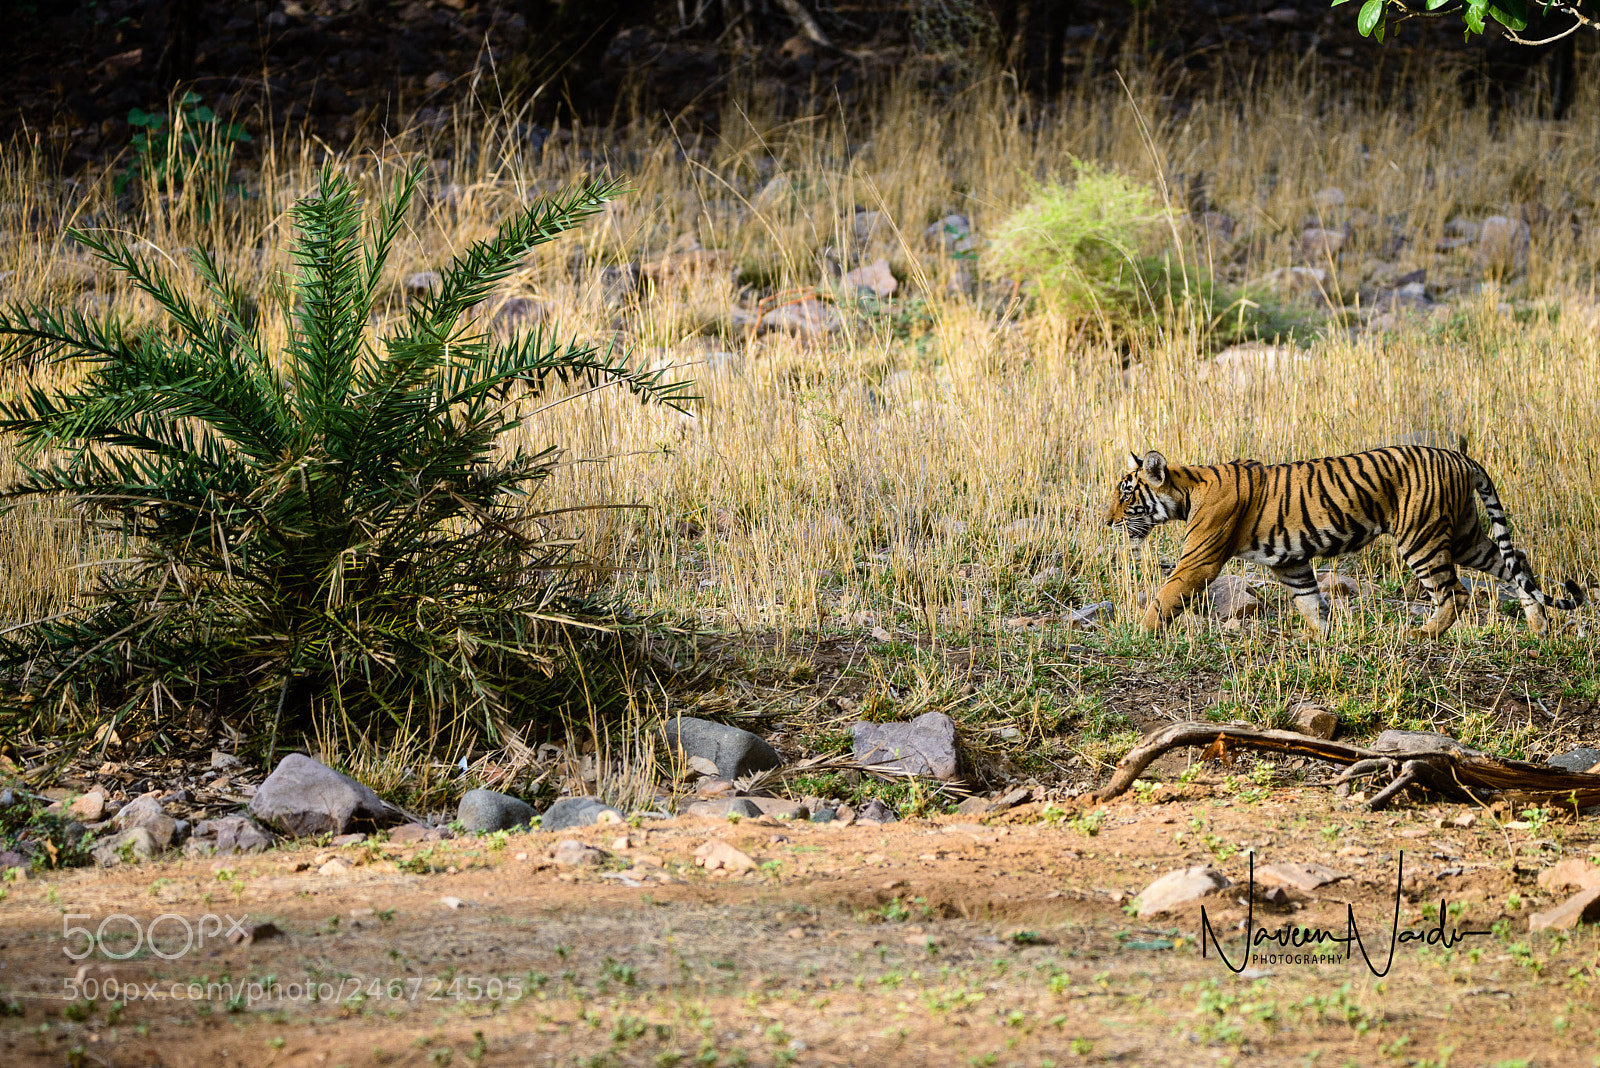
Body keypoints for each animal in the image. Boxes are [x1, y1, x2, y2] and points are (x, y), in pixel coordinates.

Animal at [1103, 445, 1584, 637]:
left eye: (1126, 495)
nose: (1106, 522)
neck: (1186, 489)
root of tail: (1458, 455)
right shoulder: (1290, 562)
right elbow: (1310, 603)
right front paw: (1324, 639)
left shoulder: (1198, 561)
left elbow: (1164, 597)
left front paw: (1136, 632)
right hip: (1467, 535)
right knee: (1516, 564)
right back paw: (1539, 627)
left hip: (1421, 537)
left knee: (1456, 593)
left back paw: (1422, 634)